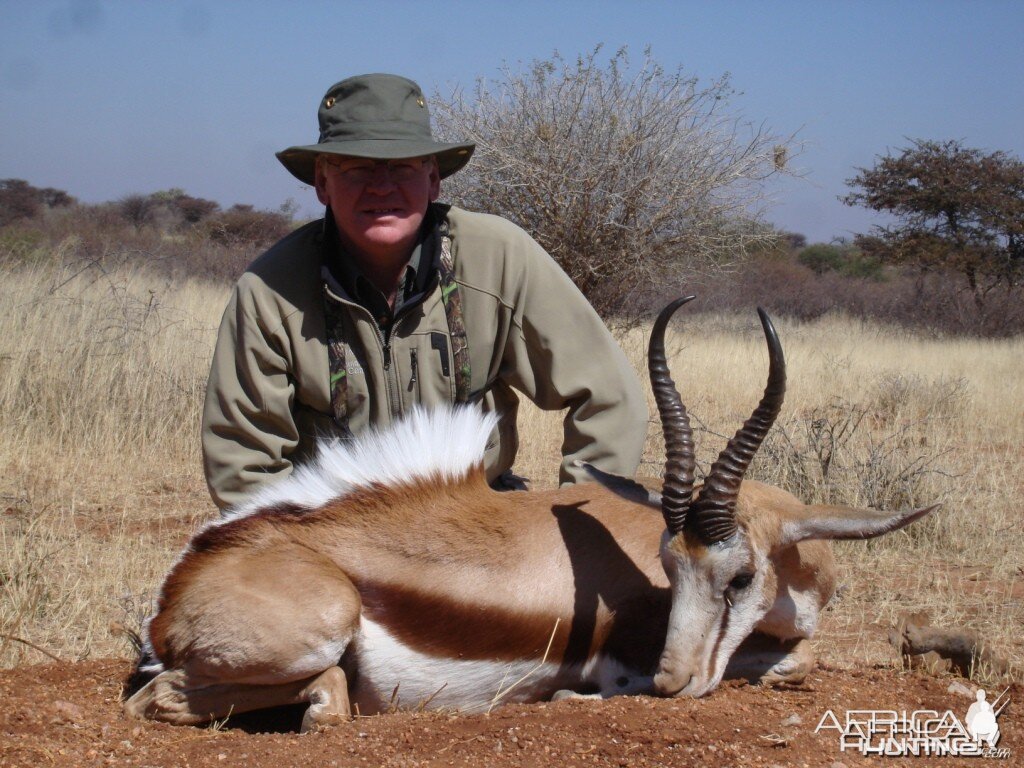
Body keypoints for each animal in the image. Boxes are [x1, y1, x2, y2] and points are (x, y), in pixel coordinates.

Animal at [123, 296, 933, 729]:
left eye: (739, 577)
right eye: (670, 569)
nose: (674, 683)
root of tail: (187, 581)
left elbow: (798, 658)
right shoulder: (621, 666)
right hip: (317, 632)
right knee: (187, 698)